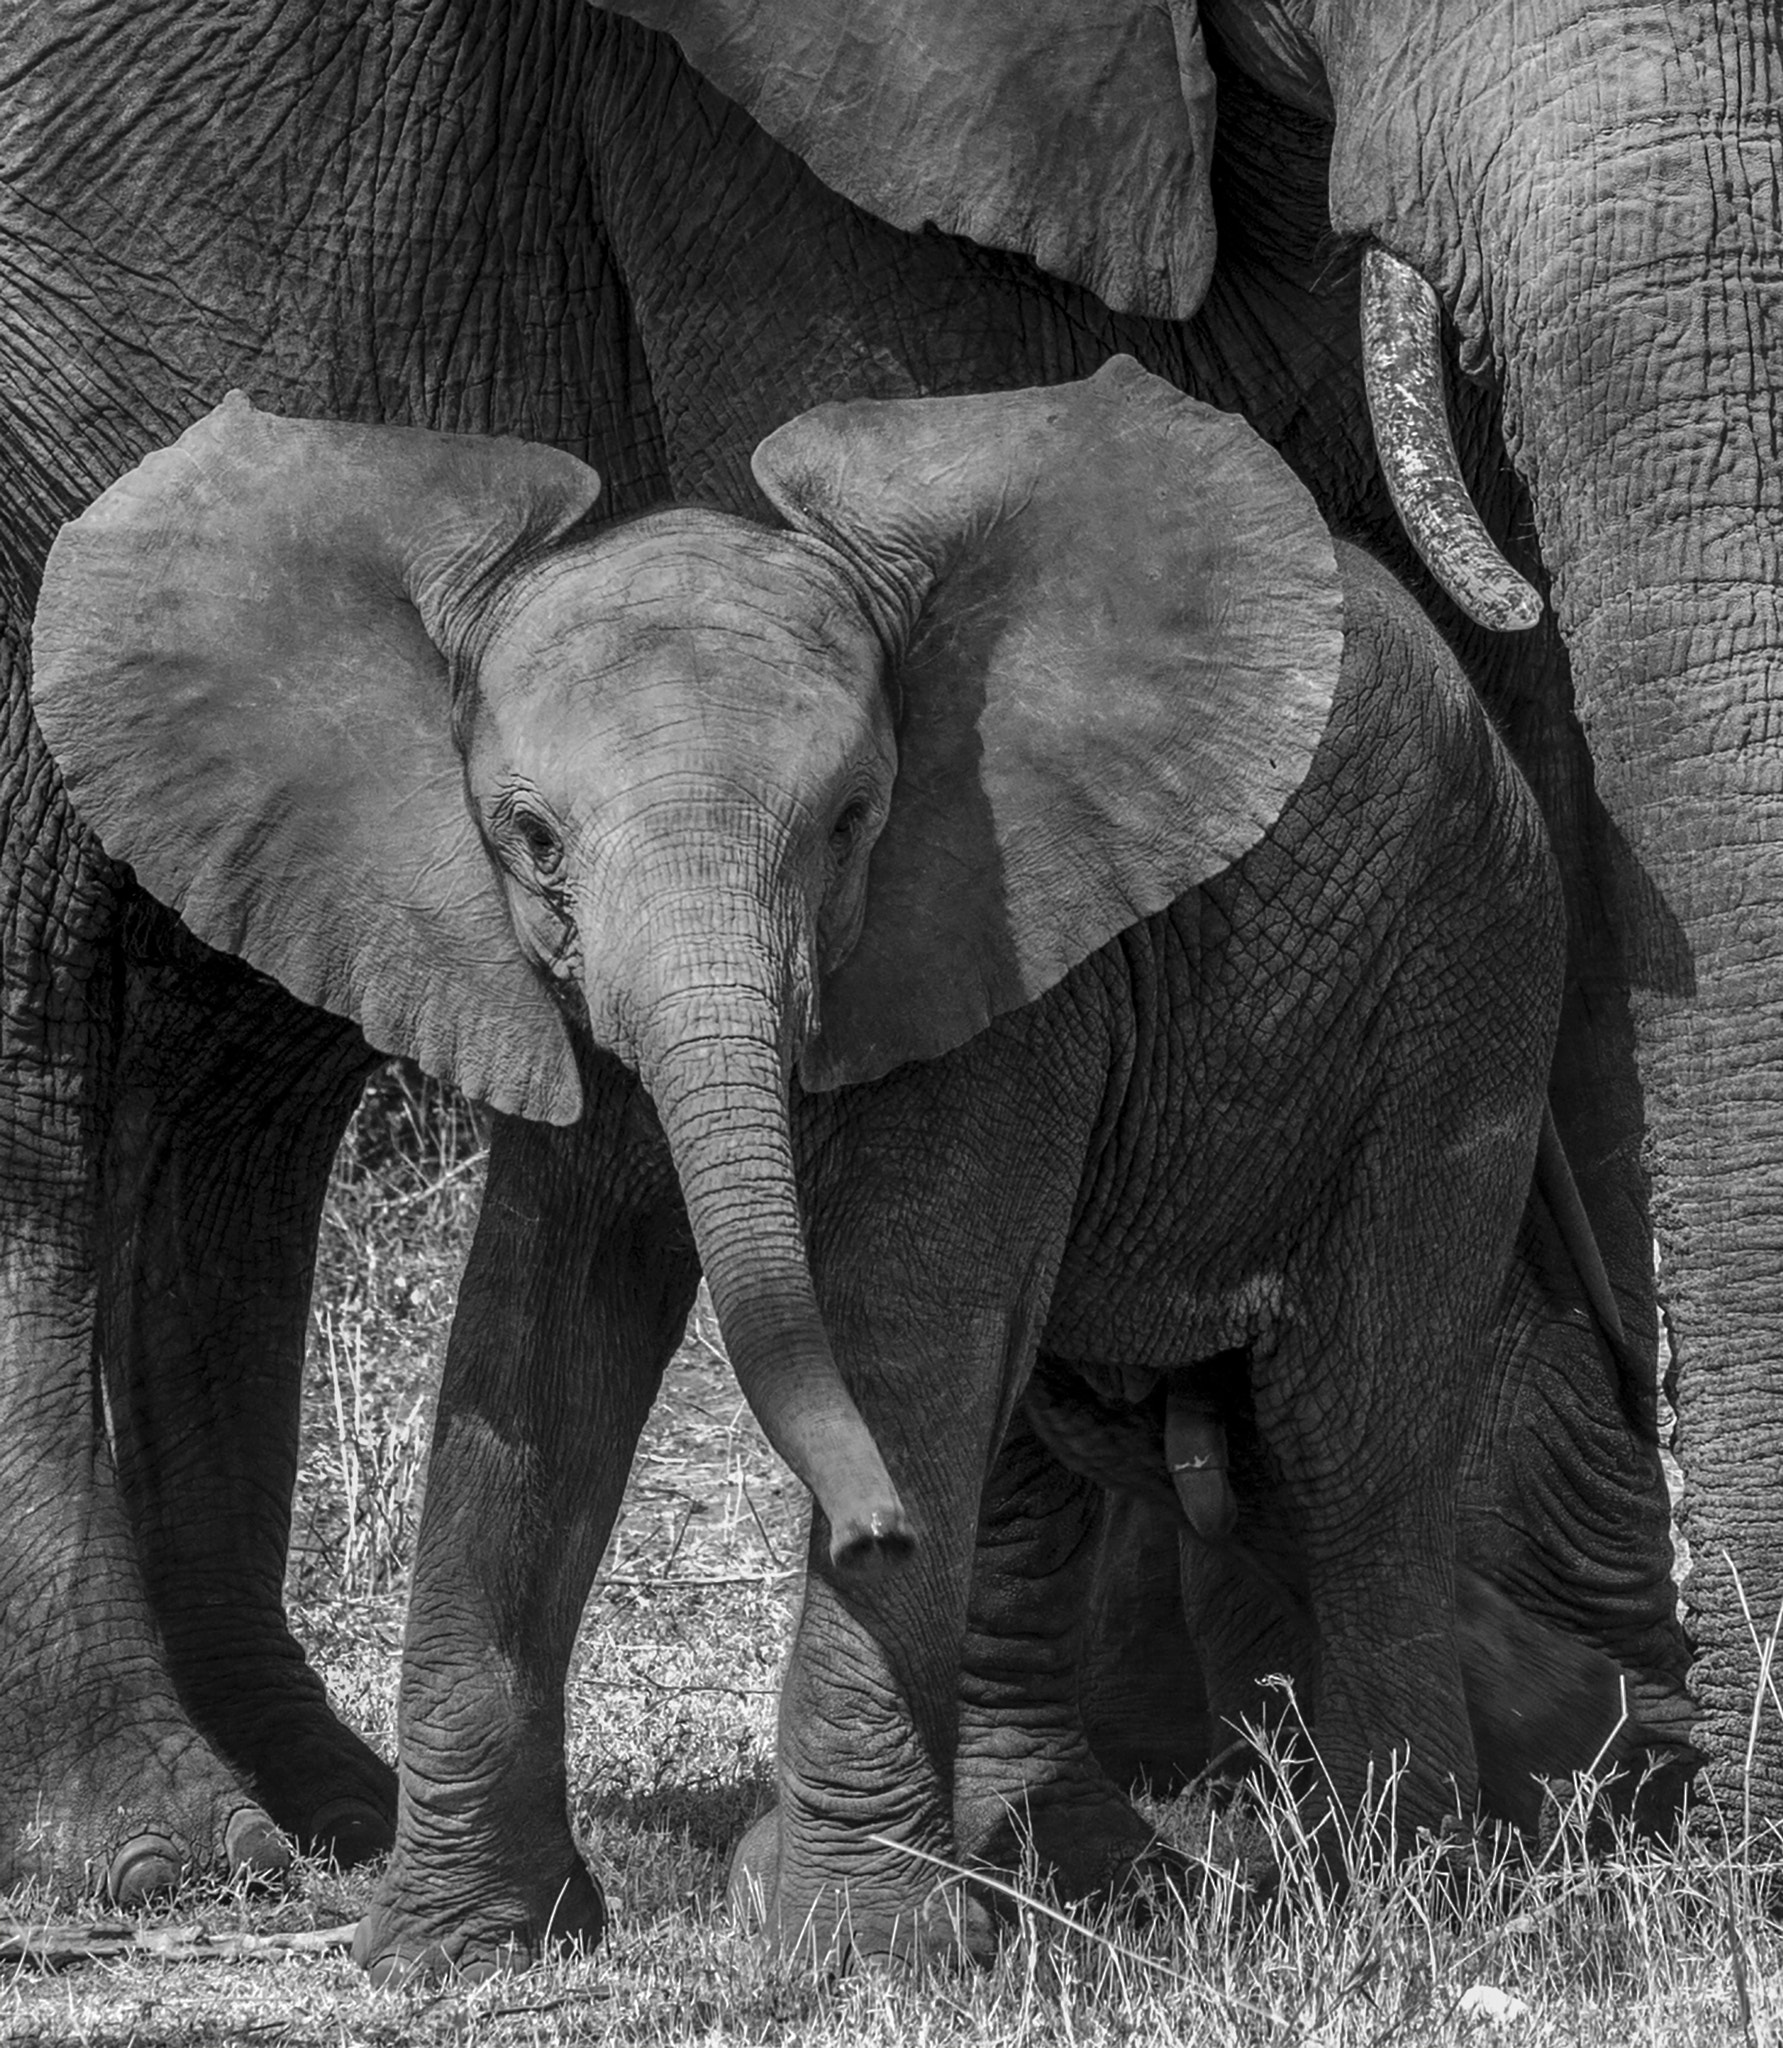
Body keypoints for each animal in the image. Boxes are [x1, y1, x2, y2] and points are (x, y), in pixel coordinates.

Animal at [0, 0, 1683, 1953]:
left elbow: (904, 1309)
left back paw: (1379, 1876)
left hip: (1453, 992)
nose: (865, 1529)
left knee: (1338, 1435)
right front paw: (459, 1943)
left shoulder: (994, 930)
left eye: (853, 819)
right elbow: (540, 1331)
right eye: (527, 835)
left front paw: (832, 1944)